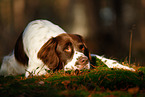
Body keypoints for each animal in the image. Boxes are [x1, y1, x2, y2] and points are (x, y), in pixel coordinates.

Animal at [0, 19, 135, 77]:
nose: (84, 61)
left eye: (82, 47)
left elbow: (104, 59)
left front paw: (124, 67)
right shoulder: (33, 70)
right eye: (66, 49)